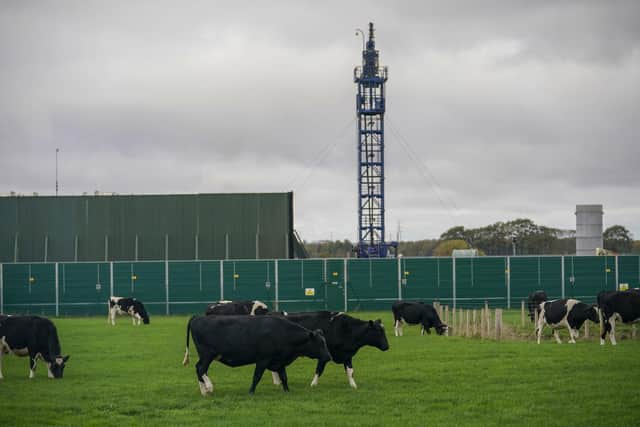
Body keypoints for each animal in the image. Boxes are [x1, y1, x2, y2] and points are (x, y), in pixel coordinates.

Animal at [180, 312, 330, 396]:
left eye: (325, 342)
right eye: (319, 343)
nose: (329, 357)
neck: (281, 333)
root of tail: (198, 317)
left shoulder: (279, 361)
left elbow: (284, 377)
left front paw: (287, 391)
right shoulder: (263, 360)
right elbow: (256, 377)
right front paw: (251, 392)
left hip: (206, 356)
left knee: (199, 370)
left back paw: (204, 391)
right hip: (207, 355)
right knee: (201, 369)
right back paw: (209, 388)